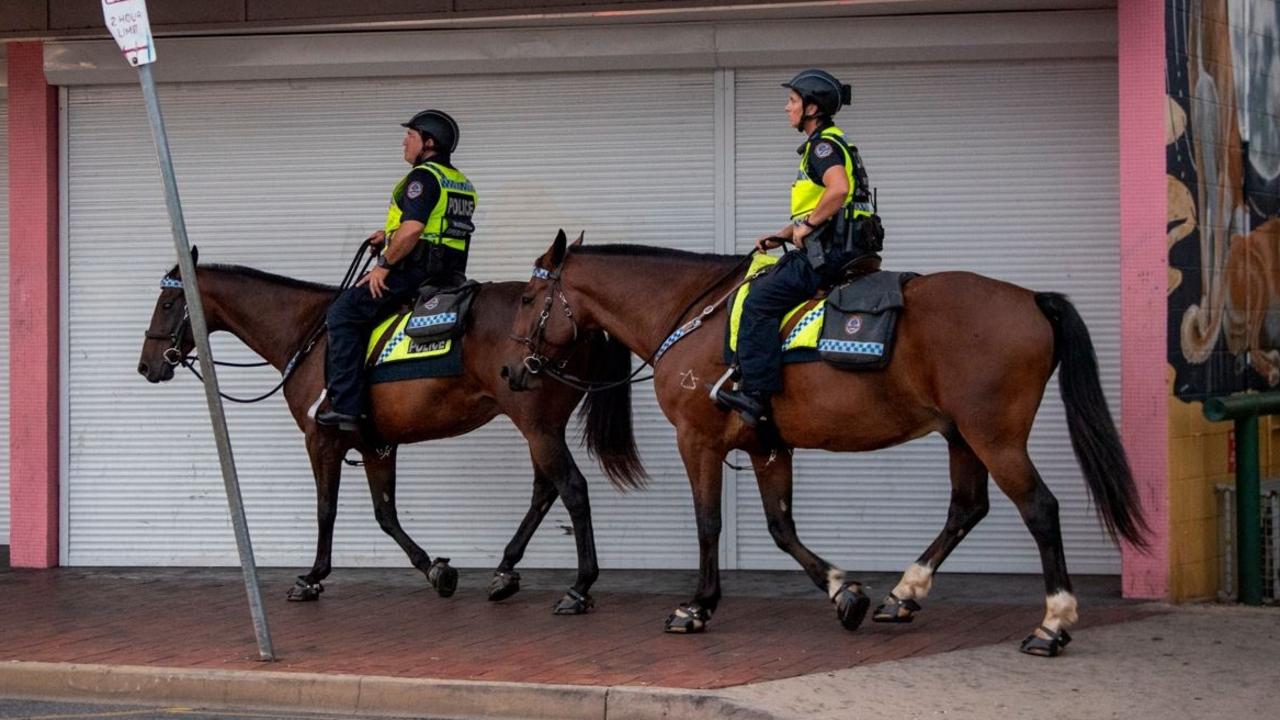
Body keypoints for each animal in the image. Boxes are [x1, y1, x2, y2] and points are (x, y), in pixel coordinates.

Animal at [135, 251, 645, 609]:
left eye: (167, 302)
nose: (146, 366)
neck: (310, 333)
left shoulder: (321, 438)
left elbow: (326, 510)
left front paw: (311, 578)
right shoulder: (376, 444)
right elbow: (386, 514)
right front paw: (435, 570)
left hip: (536, 425)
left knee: (571, 488)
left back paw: (579, 586)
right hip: (543, 427)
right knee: (546, 490)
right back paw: (504, 571)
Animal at [506, 230, 1152, 655]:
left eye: (527, 299)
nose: (513, 371)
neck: (693, 317)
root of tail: (1030, 299)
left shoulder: (699, 440)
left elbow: (709, 523)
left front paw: (696, 606)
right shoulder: (767, 447)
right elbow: (780, 527)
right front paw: (847, 593)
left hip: (995, 437)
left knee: (1039, 508)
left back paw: (1053, 623)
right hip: (961, 436)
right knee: (967, 508)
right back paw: (904, 594)